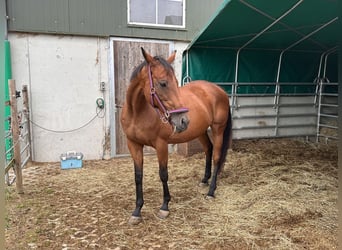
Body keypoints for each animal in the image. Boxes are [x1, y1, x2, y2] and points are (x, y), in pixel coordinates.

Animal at [121, 47, 232, 226]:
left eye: (175, 82)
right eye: (163, 83)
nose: (183, 120)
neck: (137, 113)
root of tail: (219, 90)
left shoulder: (161, 145)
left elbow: (163, 174)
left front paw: (165, 206)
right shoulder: (133, 144)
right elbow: (138, 176)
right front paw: (137, 211)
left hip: (218, 129)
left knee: (216, 156)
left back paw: (211, 191)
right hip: (200, 131)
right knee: (208, 149)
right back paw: (204, 180)